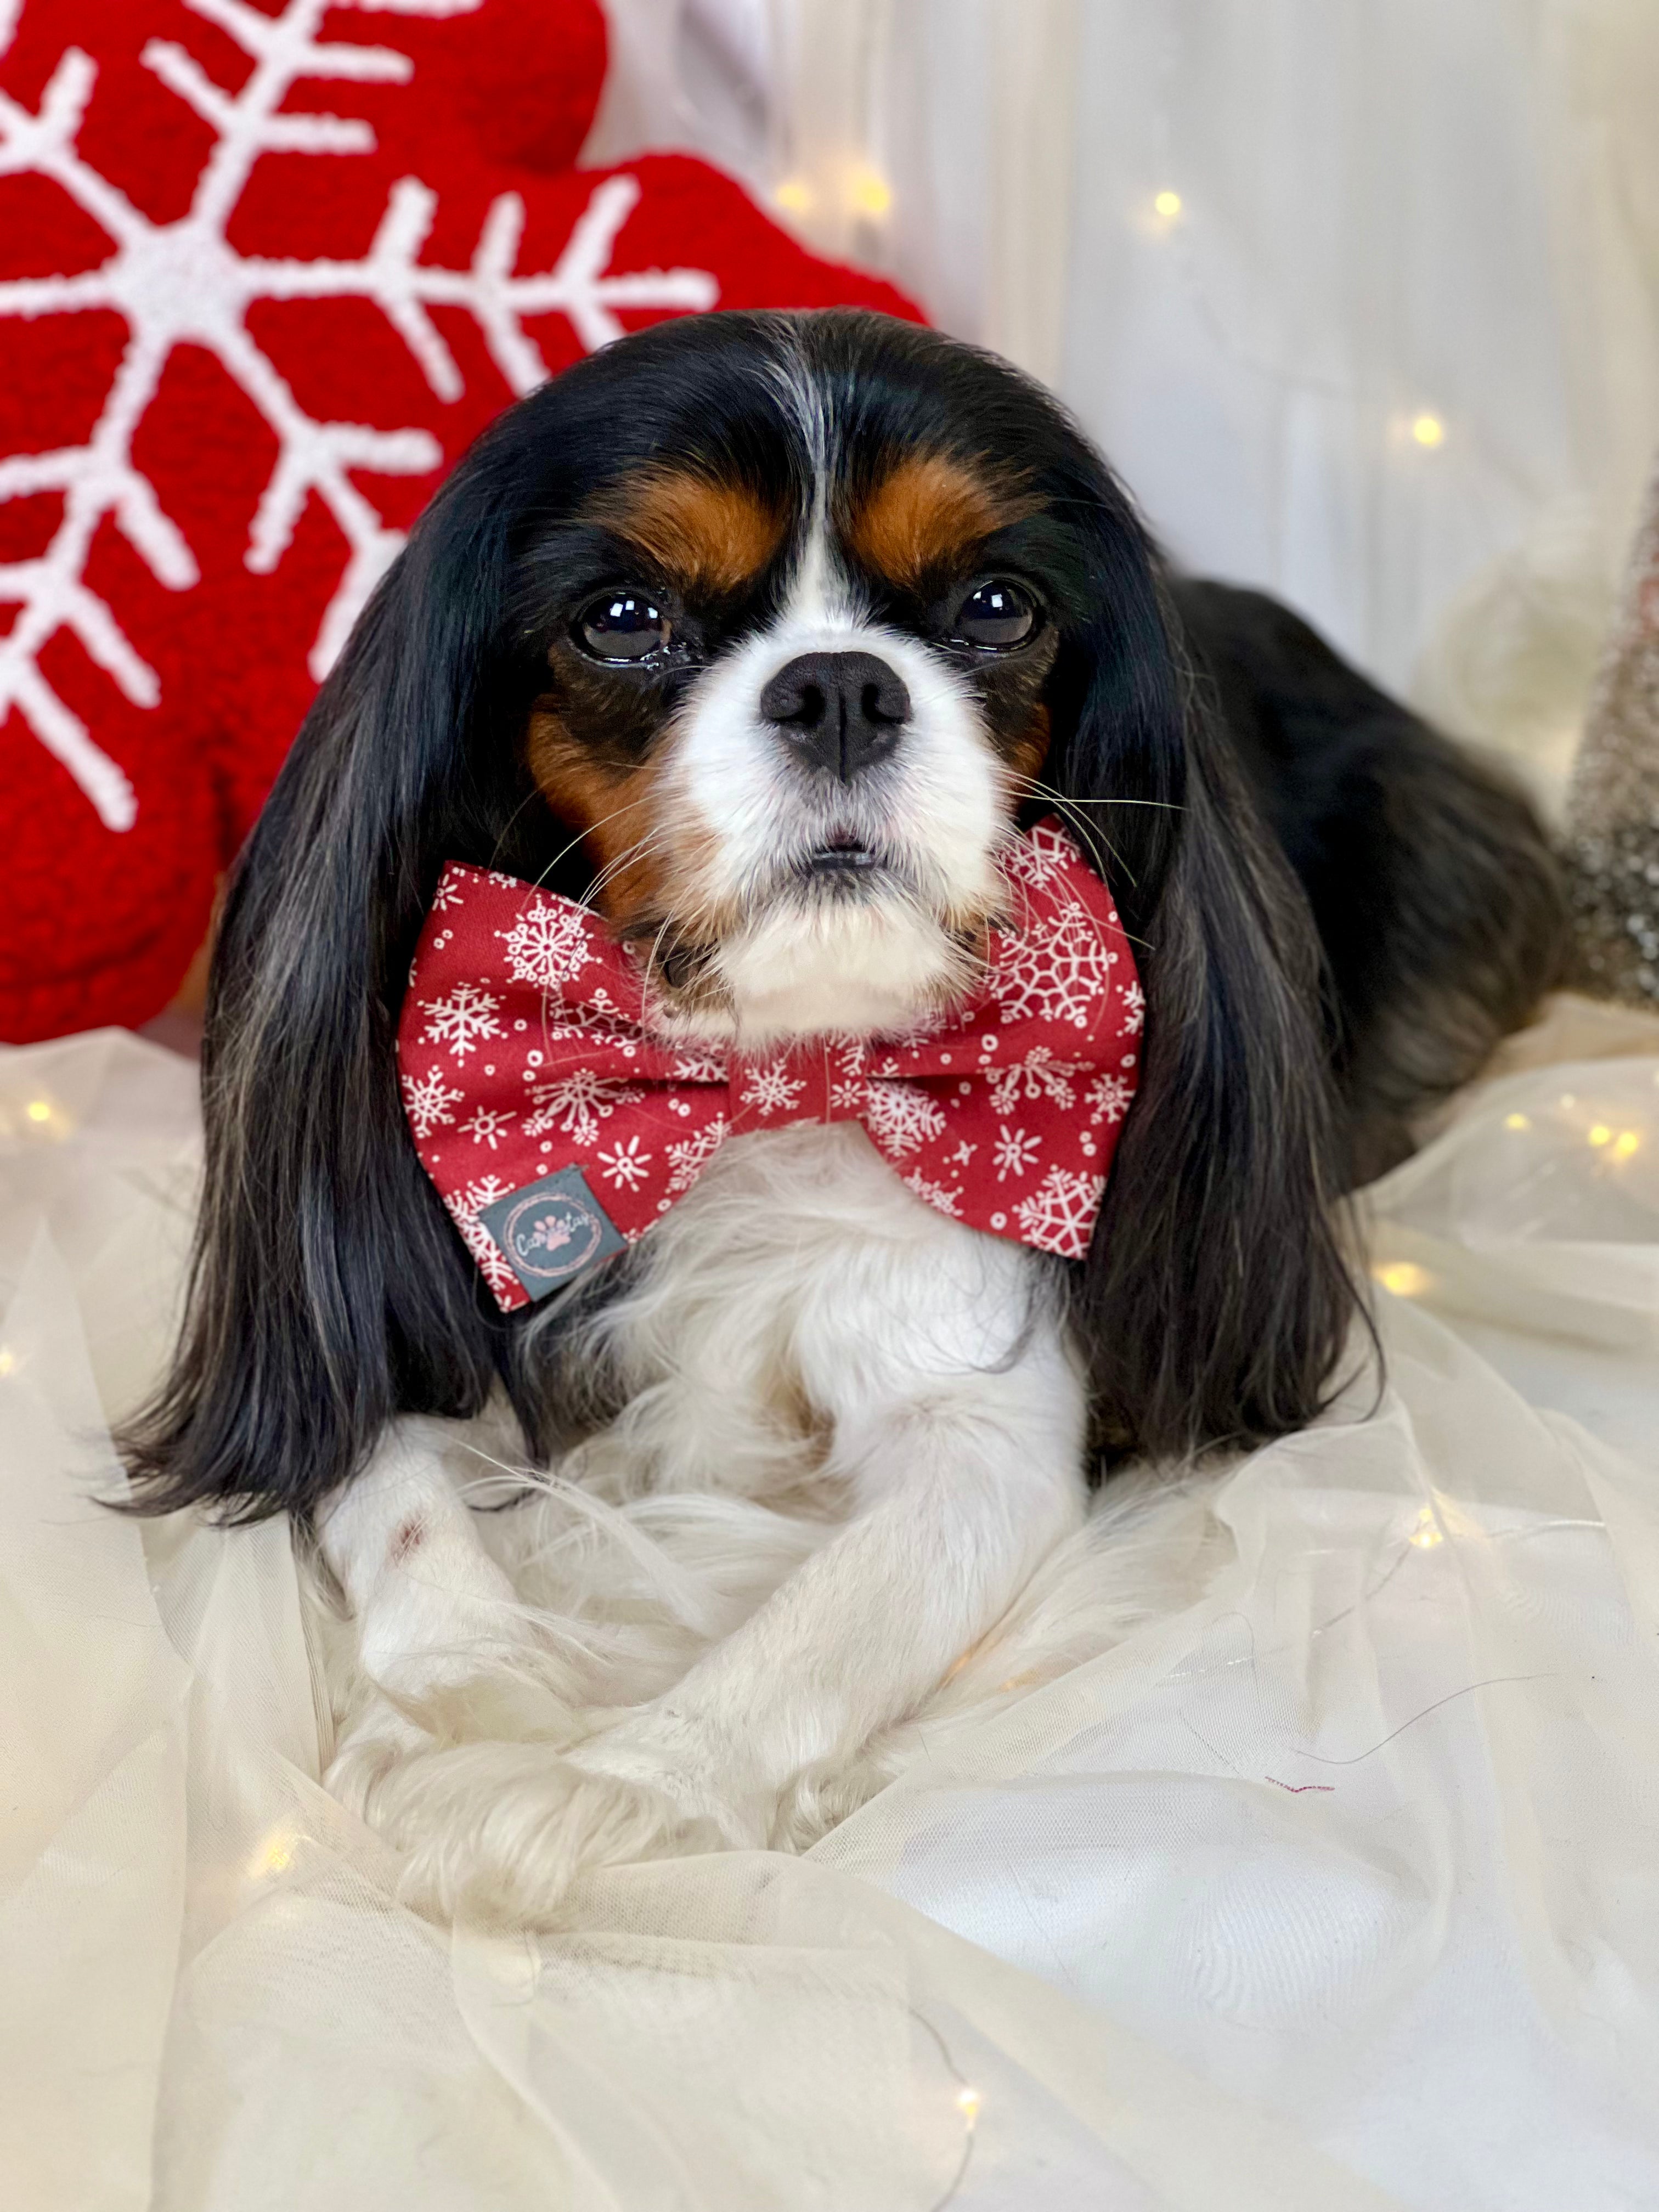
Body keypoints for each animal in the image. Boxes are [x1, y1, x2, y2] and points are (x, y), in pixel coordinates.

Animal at [120, 312, 1575, 1920]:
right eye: (623, 616)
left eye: (998, 606)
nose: (839, 687)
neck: (766, 1075)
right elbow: (399, 1482)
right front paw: (469, 1696)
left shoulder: (979, 1428)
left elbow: (817, 1626)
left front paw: (609, 1787)